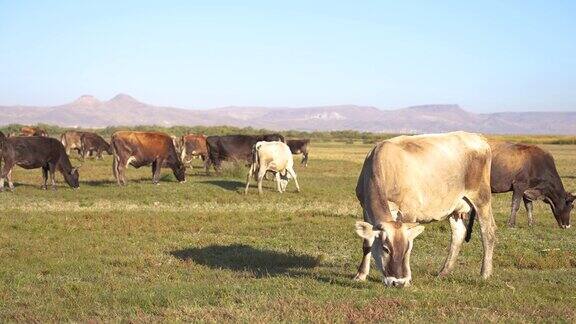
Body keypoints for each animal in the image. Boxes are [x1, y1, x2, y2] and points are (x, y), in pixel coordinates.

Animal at [356, 130, 496, 288]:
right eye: (385, 249)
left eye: (405, 248)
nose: (397, 282)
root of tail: (477, 137)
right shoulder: (365, 208)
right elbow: (367, 242)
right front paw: (361, 274)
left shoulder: (409, 212)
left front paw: (407, 279)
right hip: (455, 206)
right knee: (458, 234)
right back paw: (443, 272)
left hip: (481, 196)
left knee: (488, 231)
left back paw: (485, 273)